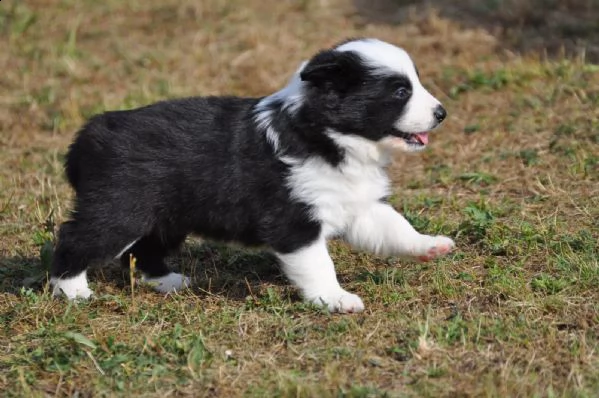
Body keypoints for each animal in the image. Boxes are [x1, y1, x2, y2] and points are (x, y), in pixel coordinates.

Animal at [51, 38, 454, 312]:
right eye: (400, 91)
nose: (442, 113)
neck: (329, 136)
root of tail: (89, 134)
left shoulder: (357, 204)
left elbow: (395, 228)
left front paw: (429, 245)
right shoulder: (294, 221)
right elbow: (319, 264)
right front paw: (335, 299)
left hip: (166, 216)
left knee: (144, 249)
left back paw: (167, 280)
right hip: (119, 209)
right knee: (75, 237)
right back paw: (72, 291)